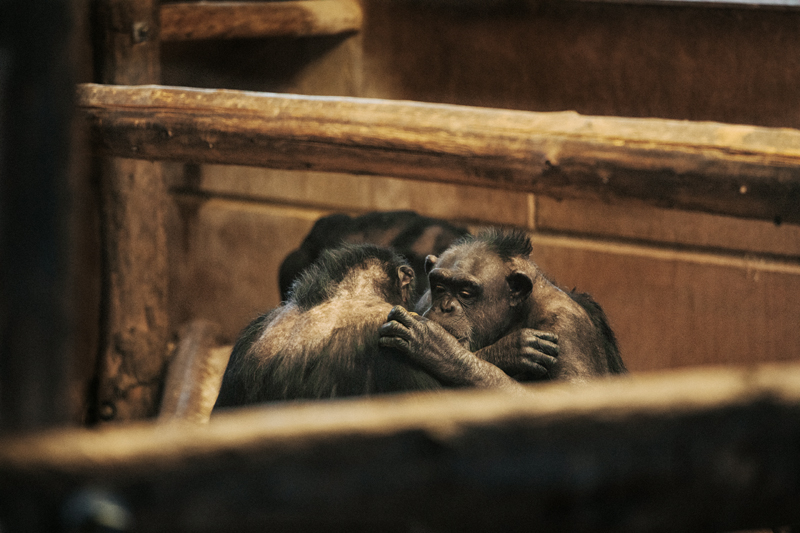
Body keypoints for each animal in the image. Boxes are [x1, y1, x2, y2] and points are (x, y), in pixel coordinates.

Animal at [378, 229, 628, 382]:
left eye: (466, 292)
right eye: (439, 287)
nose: (445, 307)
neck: (517, 312)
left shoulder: (568, 327)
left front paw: (435, 345)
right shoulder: (422, 302)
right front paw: (509, 351)